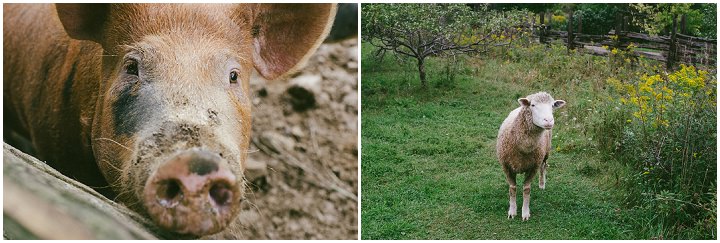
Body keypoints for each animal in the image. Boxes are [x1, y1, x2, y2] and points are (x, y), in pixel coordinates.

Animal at [498, 91, 564, 220]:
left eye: (552, 105)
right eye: (532, 105)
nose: (549, 120)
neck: (524, 147)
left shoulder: (533, 167)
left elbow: (527, 189)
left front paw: (525, 213)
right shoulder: (506, 166)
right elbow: (512, 188)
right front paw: (512, 211)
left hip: (546, 152)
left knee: (543, 166)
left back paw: (542, 184)